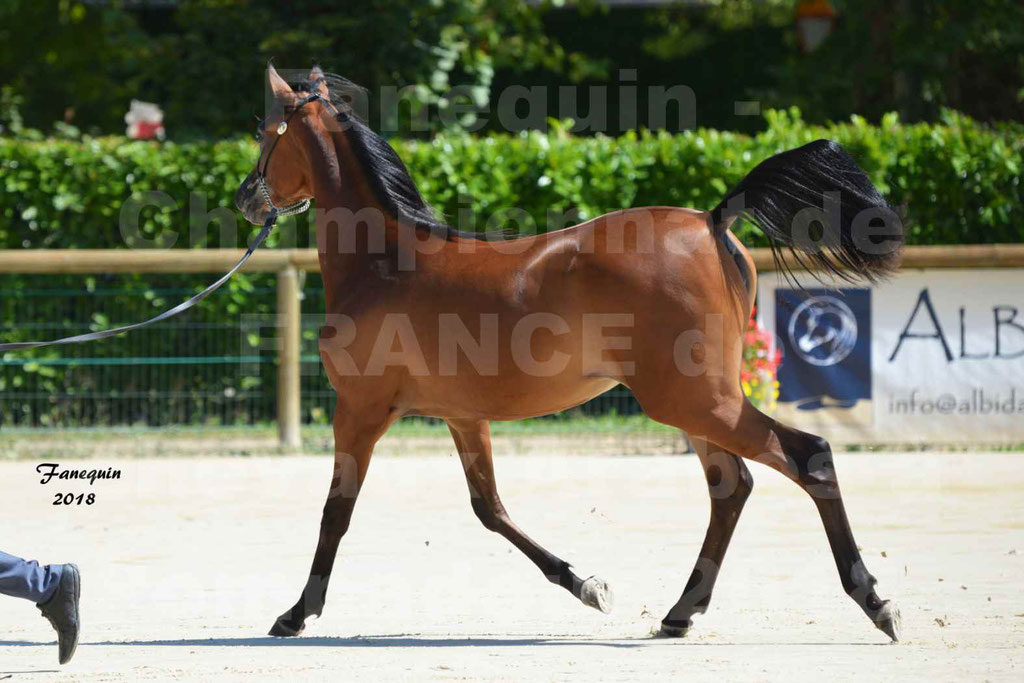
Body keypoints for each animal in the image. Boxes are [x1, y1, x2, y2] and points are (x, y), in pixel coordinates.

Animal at [234, 62, 905, 643]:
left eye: (267, 133)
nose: (246, 199)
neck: (385, 264)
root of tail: (712, 220)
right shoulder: (463, 416)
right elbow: (490, 509)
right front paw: (587, 585)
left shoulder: (361, 409)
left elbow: (336, 512)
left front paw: (295, 613)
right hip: (695, 402)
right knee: (731, 485)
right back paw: (680, 613)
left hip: (694, 400)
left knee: (807, 457)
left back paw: (876, 603)